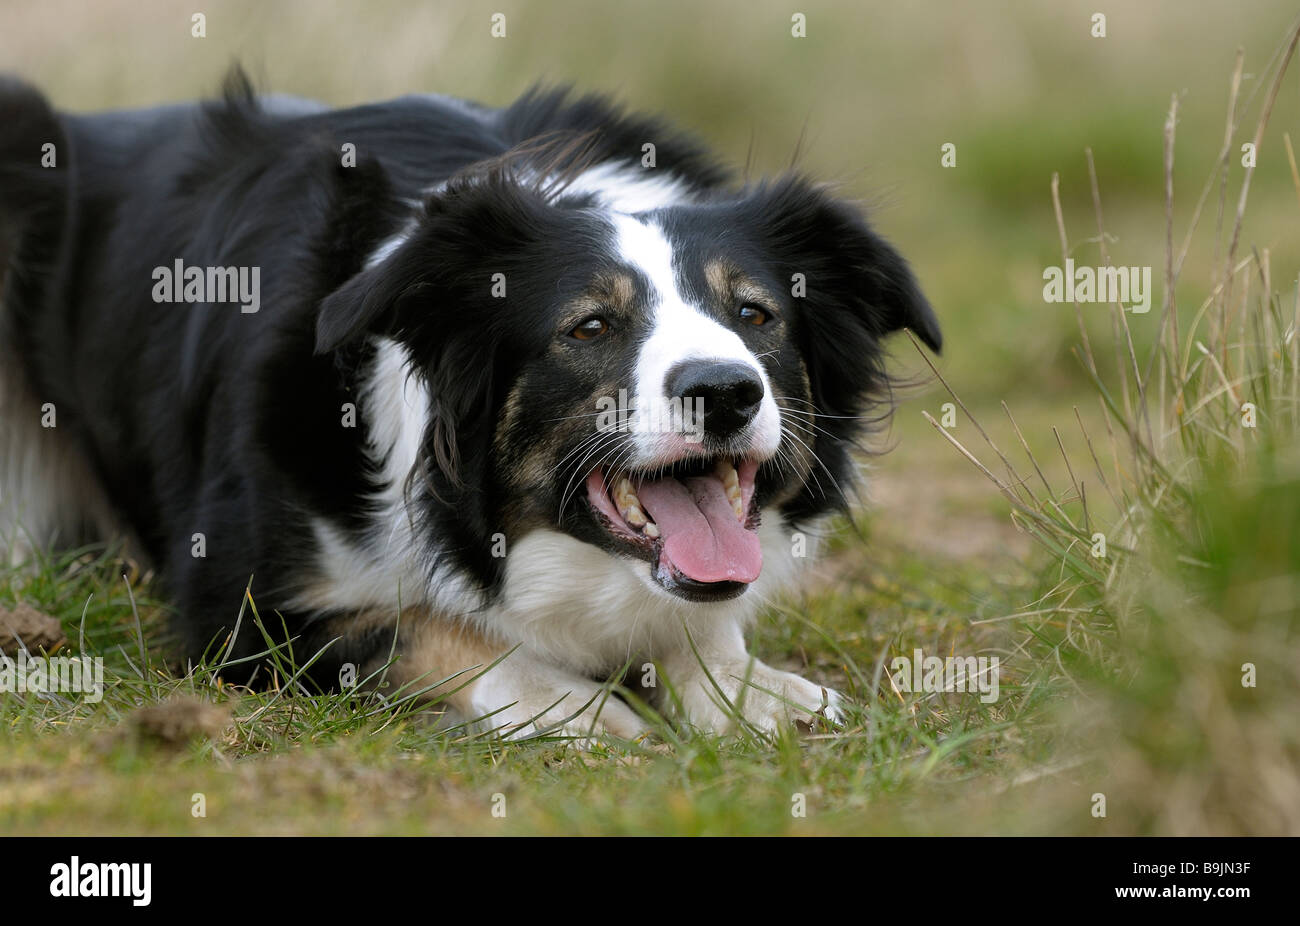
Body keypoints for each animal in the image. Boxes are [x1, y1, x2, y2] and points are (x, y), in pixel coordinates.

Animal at [0, 70, 941, 738]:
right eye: (590, 326)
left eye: (755, 315)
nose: (727, 391)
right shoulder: (239, 605)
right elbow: (427, 628)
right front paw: (585, 709)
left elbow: (700, 626)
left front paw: (751, 692)